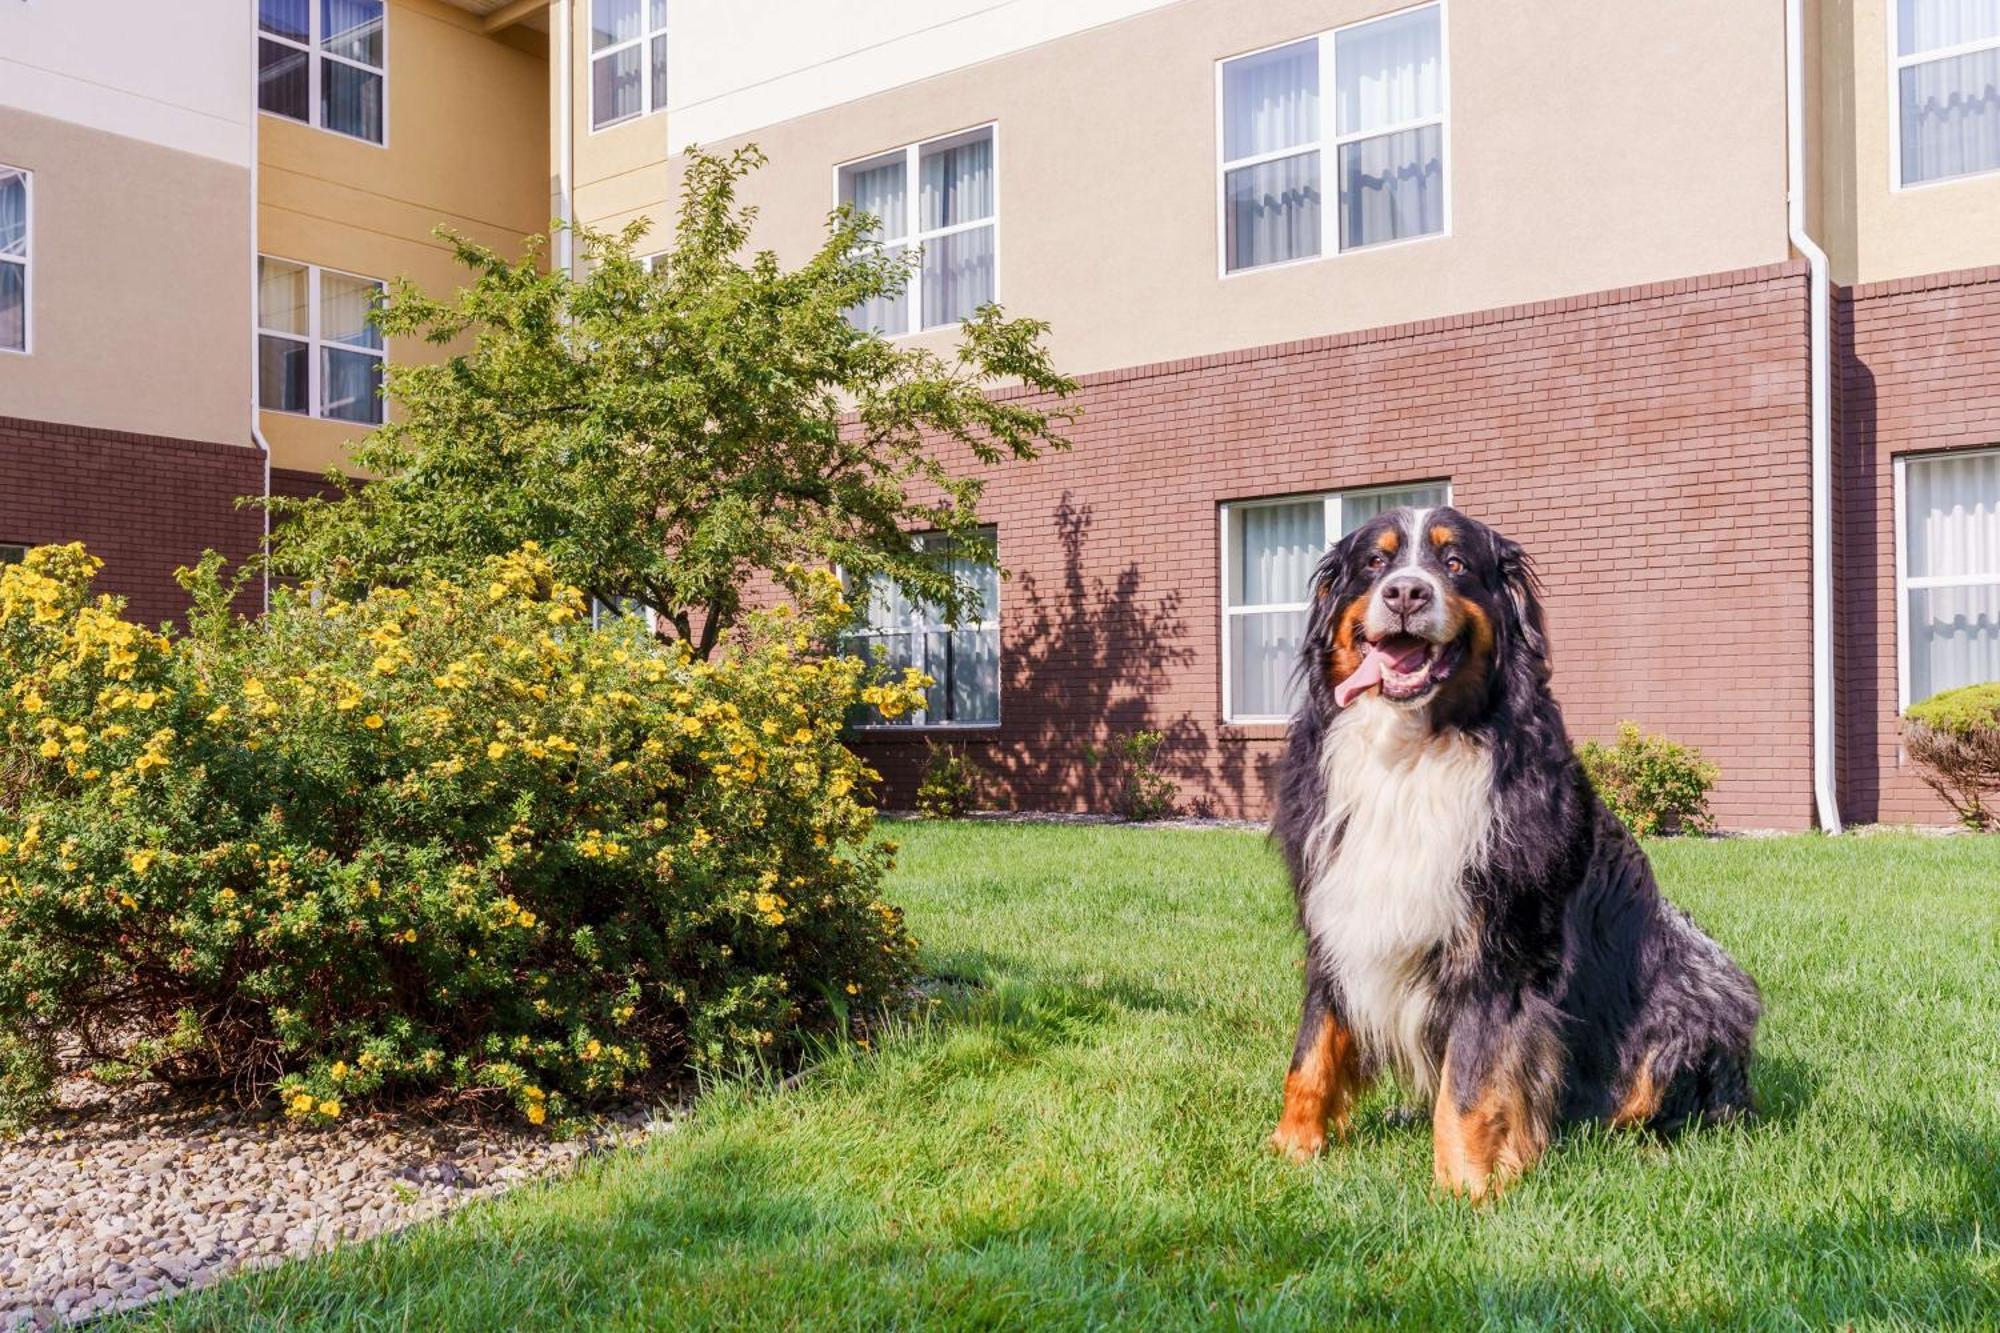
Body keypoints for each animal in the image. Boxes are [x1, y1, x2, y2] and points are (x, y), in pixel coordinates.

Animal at [1272, 498, 1760, 1192]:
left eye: (1454, 563)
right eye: (1374, 563)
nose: (1405, 592)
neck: (1413, 753)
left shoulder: (1502, 948)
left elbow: (1471, 1082)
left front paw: (1466, 1186)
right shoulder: (1337, 920)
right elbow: (1312, 1051)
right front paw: (1289, 1148)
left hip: (1696, 991)